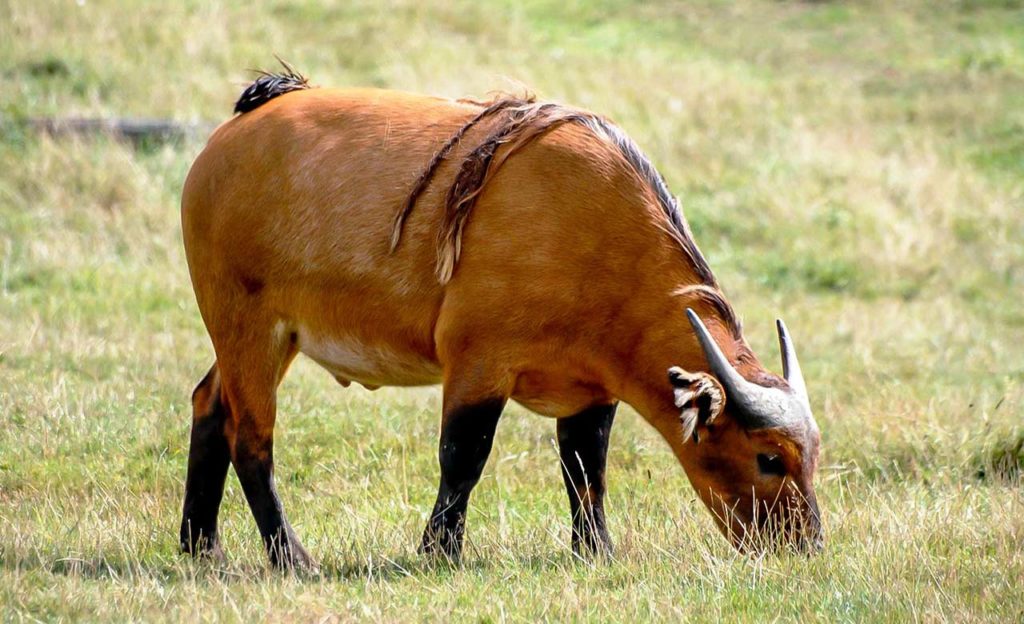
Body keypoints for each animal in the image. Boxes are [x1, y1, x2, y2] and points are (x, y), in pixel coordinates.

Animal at [178, 67, 823, 569]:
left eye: (813, 455)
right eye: (769, 458)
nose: (806, 546)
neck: (591, 232)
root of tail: (236, 130)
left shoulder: (594, 390)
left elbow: (586, 467)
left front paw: (595, 551)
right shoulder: (477, 364)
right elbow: (464, 455)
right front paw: (440, 552)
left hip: (264, 337)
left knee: (209, 404)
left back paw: (201, 546)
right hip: (247, 326)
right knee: (251, 438)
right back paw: (292, 557)